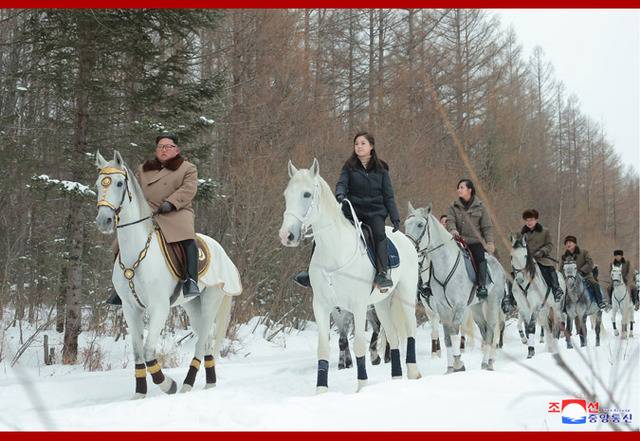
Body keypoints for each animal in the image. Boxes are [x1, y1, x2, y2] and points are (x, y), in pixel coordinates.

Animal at [91, 150, 239, 396]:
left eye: (119, 183)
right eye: (97, 184)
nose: (104, 220)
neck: (137, 253)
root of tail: (220, 249)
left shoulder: (159, 307)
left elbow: (149, 351)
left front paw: (168, 384)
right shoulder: (130, 309)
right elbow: (138, 352)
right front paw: (139, 394)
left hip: (210, 300)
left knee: (201, 342)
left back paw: (188, 384)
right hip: (192, 306)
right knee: (206, 340)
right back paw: (207, 383)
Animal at [278, 159, 420, 392]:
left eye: (307, 194)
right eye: (286, 194)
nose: (286, 235)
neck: (336, 251)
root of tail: (406, 240)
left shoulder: (358, 306)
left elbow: (360, 345)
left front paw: (361, 387)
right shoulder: (322, 306)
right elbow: (324, 348)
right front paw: (321, 391)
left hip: (405, 296)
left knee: (410, 330)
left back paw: (413, 372)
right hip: (382, 303)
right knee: (392, 336)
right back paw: (397, 378)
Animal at [404, 203, 504, 372]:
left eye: (420, 224)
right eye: (406, 224)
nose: (408, 248)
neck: (445, 265)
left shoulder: (459, 306)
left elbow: (455, 333)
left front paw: (458, 363)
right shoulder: (441, 308)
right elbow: (447, 337)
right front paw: (450, 368)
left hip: (492, 304)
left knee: (491, 330)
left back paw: (488, 363)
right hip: (476, 308)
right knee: (484, 330)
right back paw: (486, 362)